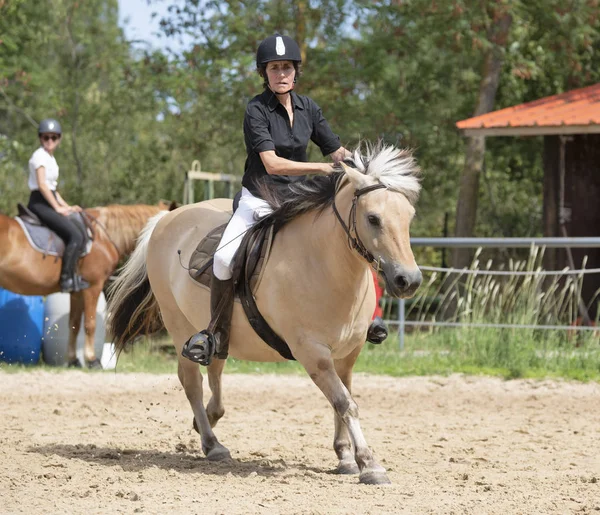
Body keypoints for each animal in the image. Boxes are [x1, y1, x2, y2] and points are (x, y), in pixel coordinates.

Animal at [0, 202, 171, 366]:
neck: (104, 236)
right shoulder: (93, 286)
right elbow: (90, 323)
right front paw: (92, 360)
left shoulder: (76, 292)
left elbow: (74, 324)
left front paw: (73, 360)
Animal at [109, 144, 426, 484]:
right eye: (373, 218)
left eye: (408, 217)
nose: (408, 281)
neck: (325, 264)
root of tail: (167, 218)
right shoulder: (312, 353)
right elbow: (345, 403)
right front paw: (369, 464)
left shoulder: (347, 354)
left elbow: (343, 401)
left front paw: (344, 456)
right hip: (177, 322)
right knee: (192, 381)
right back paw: (212, 444)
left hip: (218, 329)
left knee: (215, 367)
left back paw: (209, 418)